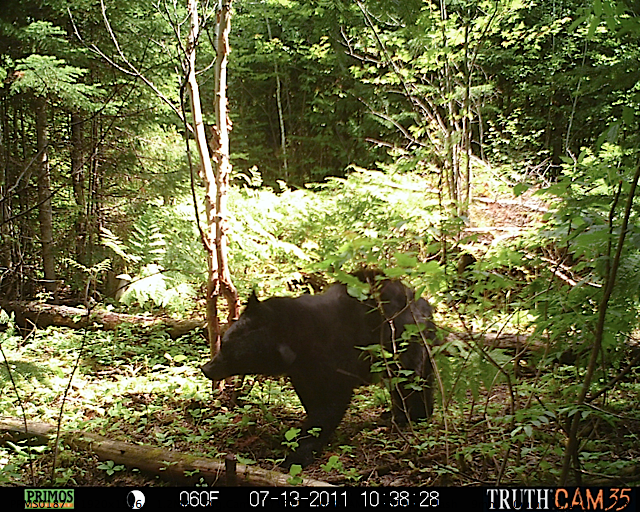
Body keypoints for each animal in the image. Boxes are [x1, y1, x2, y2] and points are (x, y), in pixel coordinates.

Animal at [202, 272, 438, 468]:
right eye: (226, 340)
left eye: (230, 349)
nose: (206, 368)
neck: (300, 345)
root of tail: (423, 303)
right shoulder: (302, 372)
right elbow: (311, 398)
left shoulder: (334, 357)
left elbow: (330, 403)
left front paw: (298, 453)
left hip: (405, 343)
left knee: (410, 381)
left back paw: (412, 415)